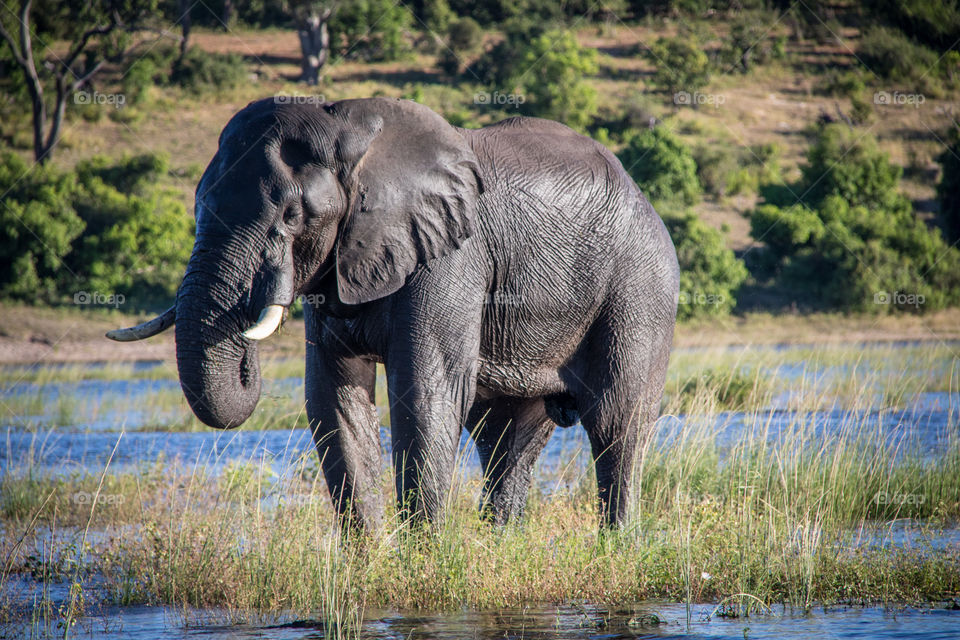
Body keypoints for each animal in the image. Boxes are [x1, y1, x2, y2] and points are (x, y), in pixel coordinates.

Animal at [109, 96, 680, 528]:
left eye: (292, 215)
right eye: (197, 206)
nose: (248, 354)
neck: (351, 136)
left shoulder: (452, 255)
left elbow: (425, 392)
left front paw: (424, 565)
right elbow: (332, 398)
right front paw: (369, 564)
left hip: (641, 286)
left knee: (616, 422)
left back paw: (616, 547)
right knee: (505, 437)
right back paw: (501, 545)